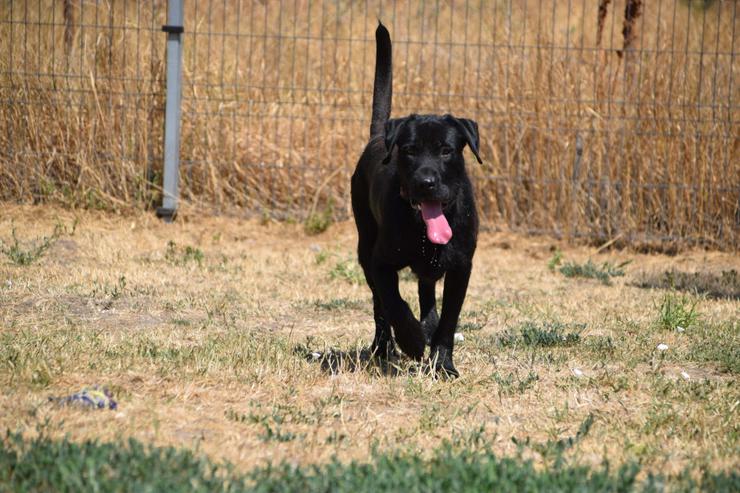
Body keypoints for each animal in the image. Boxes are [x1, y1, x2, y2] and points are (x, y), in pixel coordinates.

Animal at [352, 22, 482, 376]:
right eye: (409, 150)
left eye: (446, 150)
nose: (426, 183)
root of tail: (377, 136)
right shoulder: (380, 262)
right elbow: (393, 303)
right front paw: (411, 340)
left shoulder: (461, 267)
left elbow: (449, 319)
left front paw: (443, 363)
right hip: (364, 244)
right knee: (379, 306)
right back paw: (384, 346)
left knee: (426, 289)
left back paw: (427, 324)